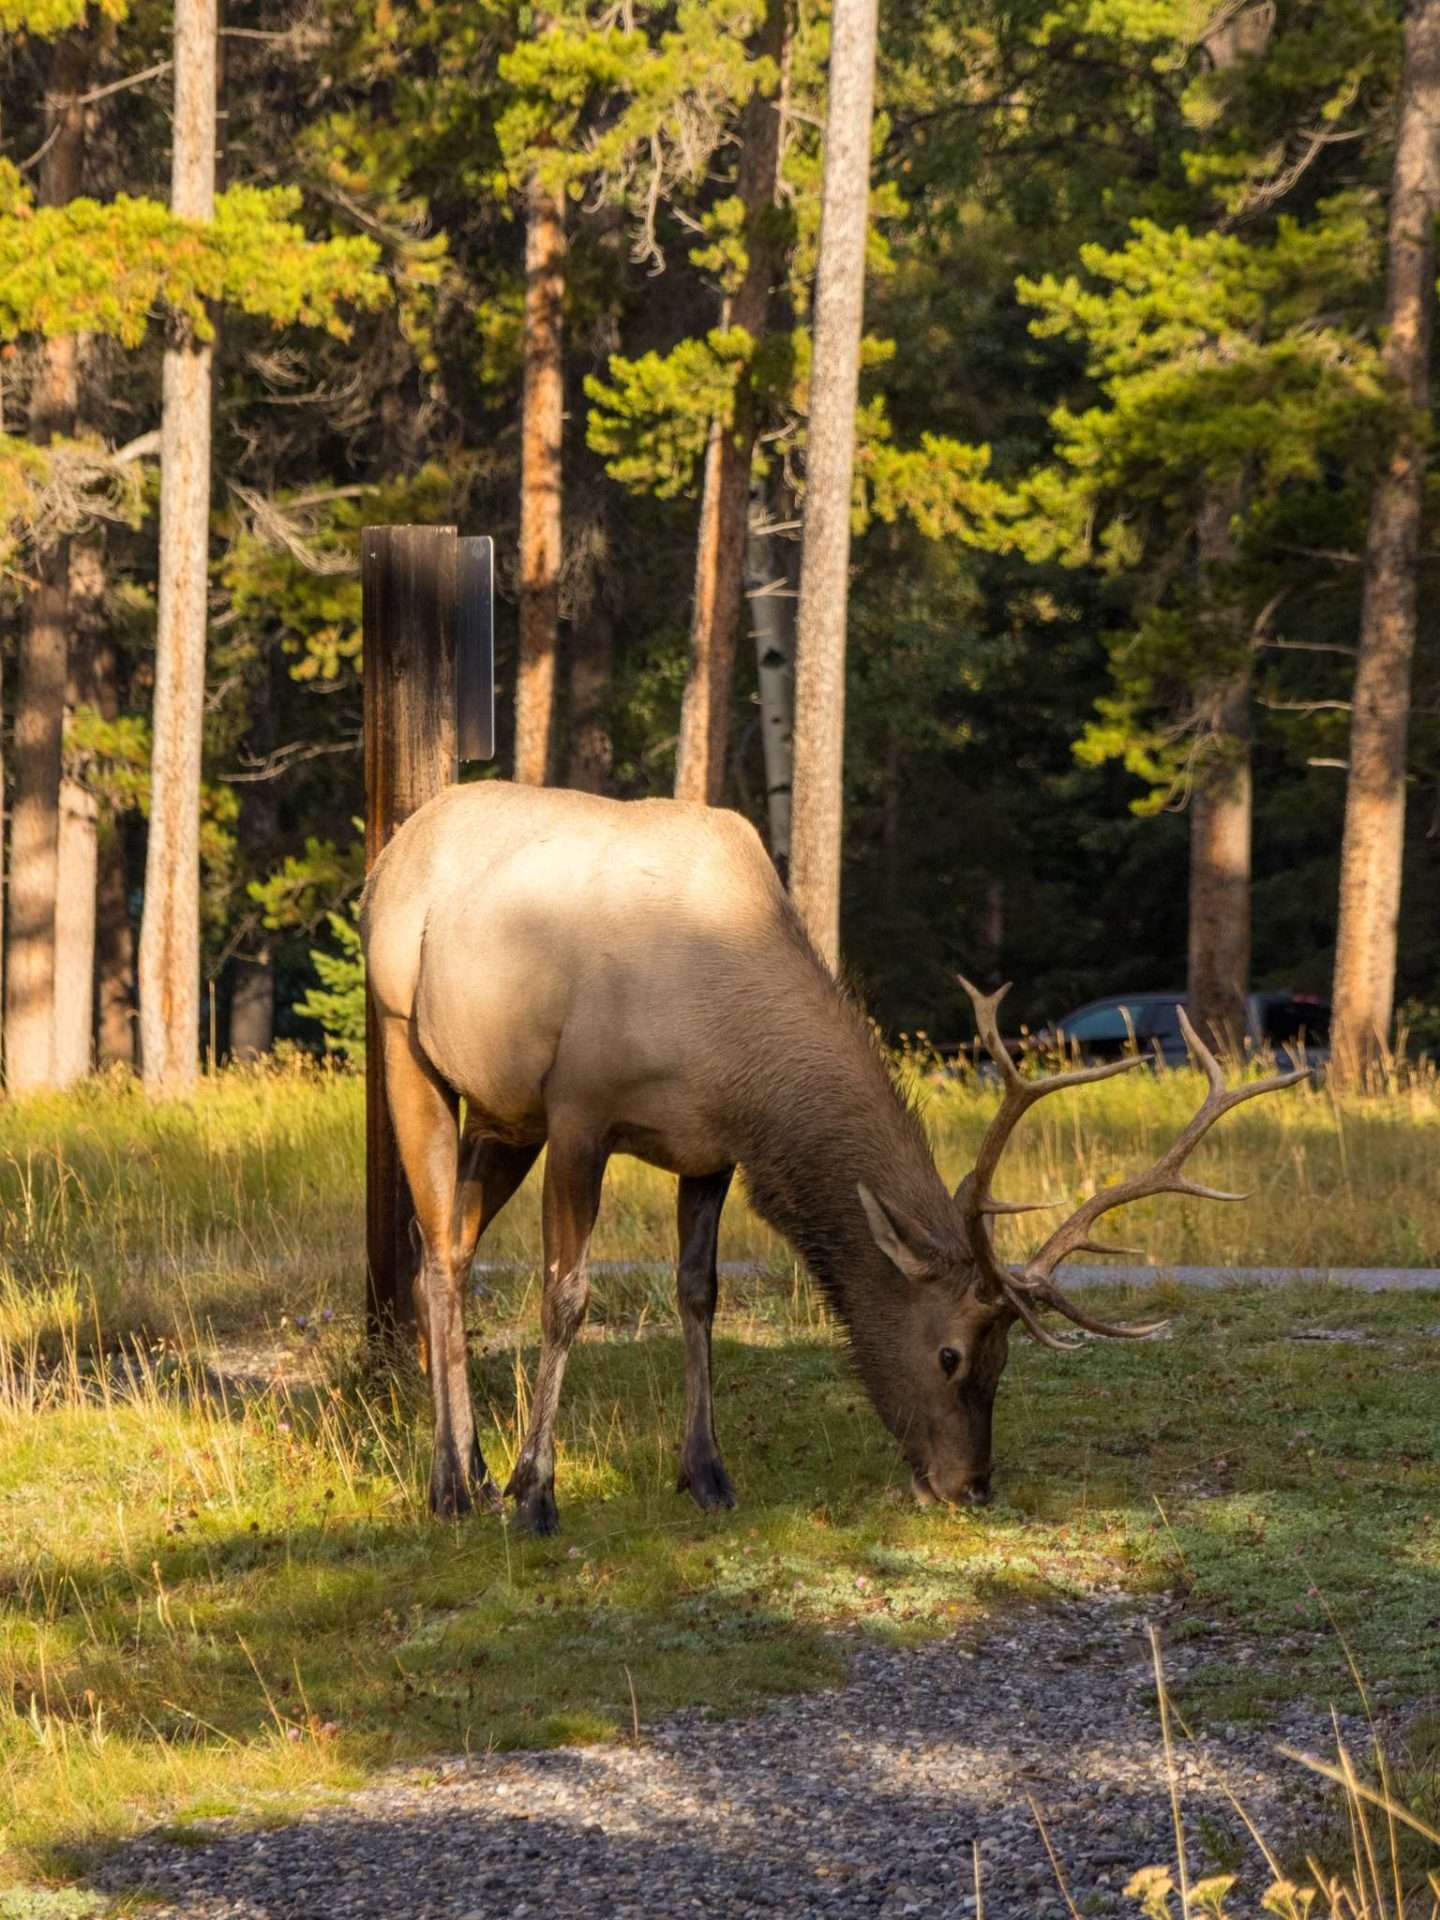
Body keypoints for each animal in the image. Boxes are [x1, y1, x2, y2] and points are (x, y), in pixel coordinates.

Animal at [361, 779, 1303, 1532]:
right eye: (951, 1354)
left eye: (1007, 1358)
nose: (971, 1486)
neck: (726, 1039)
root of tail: (384, 858)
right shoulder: (581, 1110)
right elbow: (566, 1297)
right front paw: (538, 1491)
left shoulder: (709, 1149)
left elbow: (698, 1294)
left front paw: (706, 1475)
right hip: (411, 1042)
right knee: (438, 1254)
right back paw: (454, 1485)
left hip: (503, 1111)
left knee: (450, 1245)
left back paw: (472, 1468)